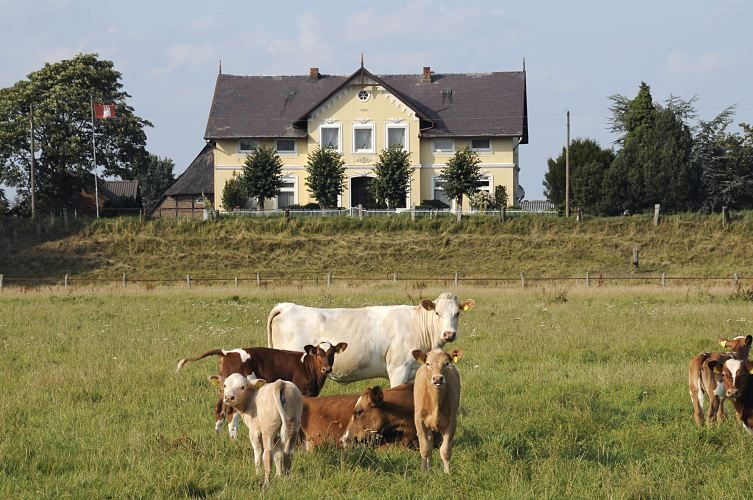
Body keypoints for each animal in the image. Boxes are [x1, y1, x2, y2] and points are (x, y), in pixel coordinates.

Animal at [178, 344, 348, 438]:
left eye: (332, 353)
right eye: (318, 353)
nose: (327, 368)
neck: (307, 366)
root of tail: (228, 352)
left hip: (224, 389)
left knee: (219, 409)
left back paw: (218, 435)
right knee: (231, 412)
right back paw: (234, 439)